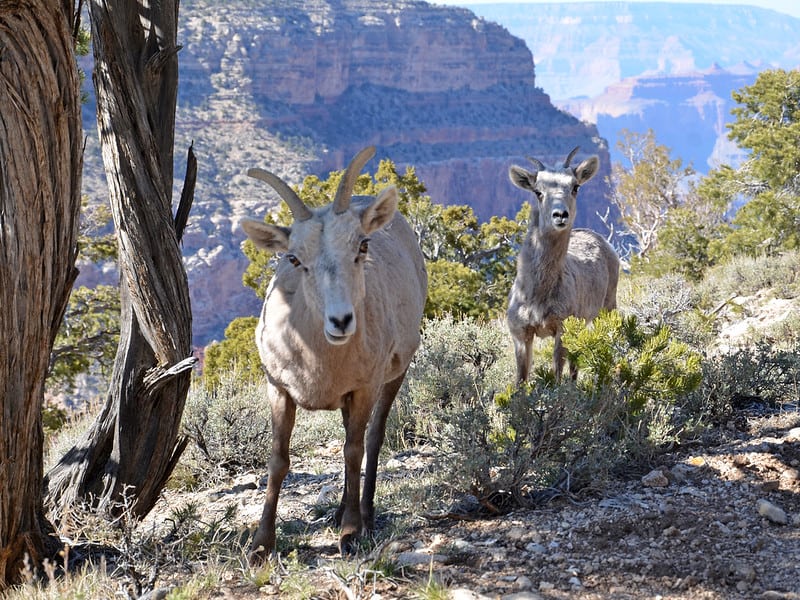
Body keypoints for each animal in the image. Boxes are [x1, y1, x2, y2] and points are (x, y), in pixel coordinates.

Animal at [241, 145, 428, 564]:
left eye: (362, 246)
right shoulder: (278, 388)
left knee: (373, 438)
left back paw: (365, 514)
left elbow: (353, 451)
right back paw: (343, 509)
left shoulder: (364, 388)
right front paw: (261, 545)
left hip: (395, 374)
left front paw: (350, 535)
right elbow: (278, 460)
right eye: (294, 259)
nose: (341, 321)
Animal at [506, 146, 620, 382]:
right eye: (538, 192)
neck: (536, 296)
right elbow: (521, 379)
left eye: (575, 187)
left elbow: (557, 375)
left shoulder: (562, 327)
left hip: (607, 307)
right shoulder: (520, 334)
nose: (560, 215)